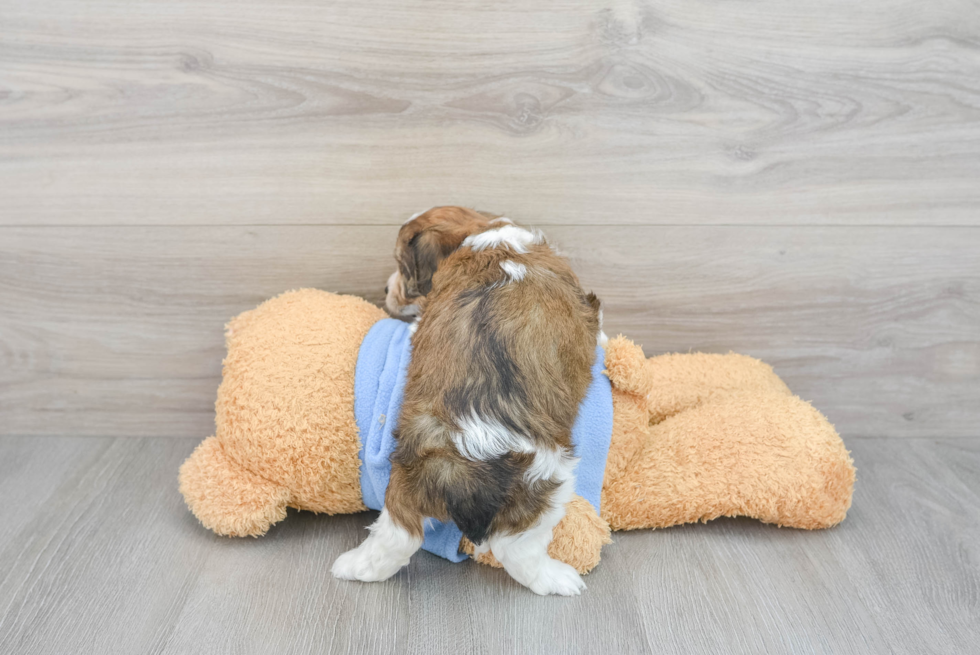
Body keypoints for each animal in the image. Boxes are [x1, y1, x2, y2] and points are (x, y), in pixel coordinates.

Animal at [334, 208, 600, 596]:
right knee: (516, 549)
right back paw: (558, 579)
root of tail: (455, 453)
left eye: (402, 267)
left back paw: (354, 567)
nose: (385, 289)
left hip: (406, 481)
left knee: (397, 534)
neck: (486, 237)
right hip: (548, 478)